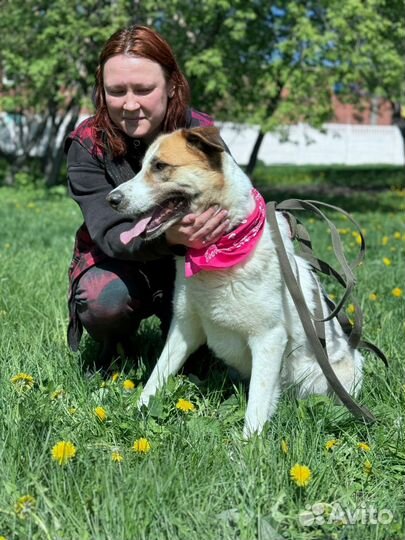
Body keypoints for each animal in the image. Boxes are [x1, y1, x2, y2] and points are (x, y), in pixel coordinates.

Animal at [105, 127, 362, 438]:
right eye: (142, 166)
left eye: (160, 166)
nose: (111, 199)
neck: (220, 247)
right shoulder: (185, 327)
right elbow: (157, 375)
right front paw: (136, 411)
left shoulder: (269, 338)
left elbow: (257, 403)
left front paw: (250, 445)